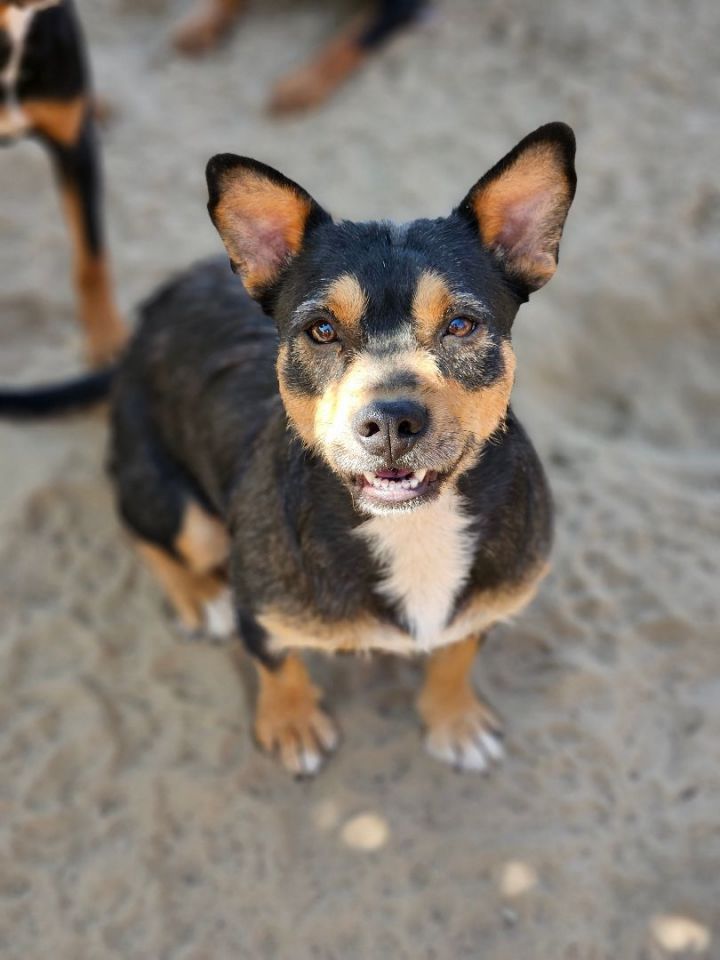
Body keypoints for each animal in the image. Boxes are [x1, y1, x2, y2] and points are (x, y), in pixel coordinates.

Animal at [109, 124, 576, 776]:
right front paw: (293, 726)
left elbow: (457, 652)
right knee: (139, 528)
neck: (412, 526)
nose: (391, 421)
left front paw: (454, 720)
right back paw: (201, 598)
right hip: (175, 504)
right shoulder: (263, 611)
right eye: (322, 330)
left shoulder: (493, 598)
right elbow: (277, 663)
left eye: (461, 325)